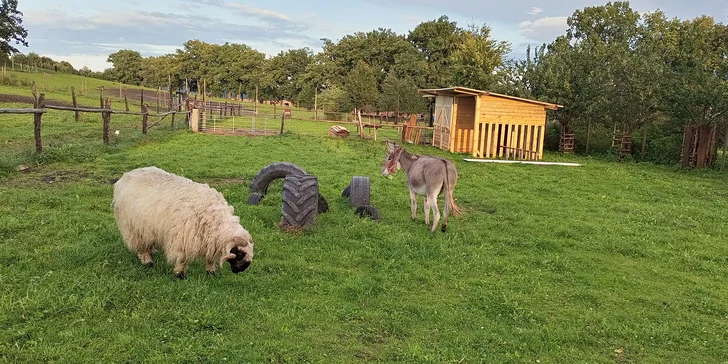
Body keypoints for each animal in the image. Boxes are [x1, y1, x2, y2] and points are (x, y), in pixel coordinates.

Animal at [111, 166, 253, 280]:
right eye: (240, 253)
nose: (239, 270)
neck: (214, 219)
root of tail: (126, 176)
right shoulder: (183, 239)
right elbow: (182, 259)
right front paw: (179, 275)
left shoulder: (209, 241)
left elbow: (210, 258)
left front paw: (211, 272)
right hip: (134, 227)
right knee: (141, 246)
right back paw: (147, 261)